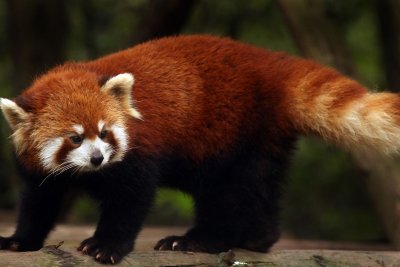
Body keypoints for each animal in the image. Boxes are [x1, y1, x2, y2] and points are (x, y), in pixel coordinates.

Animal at [0, 34, 400, 264]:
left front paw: (106, 245)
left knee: (232, 192)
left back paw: (201, 239)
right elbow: (39, 203)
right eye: (75, 138)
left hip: (232, 136)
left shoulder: (139, 154)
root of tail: (271, 63)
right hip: (263, 139)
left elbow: (130, 200)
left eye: (104, 132)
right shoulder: (39, 171)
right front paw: (19, 241)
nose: (98, 158)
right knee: (263, 186)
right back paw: (258, 238)